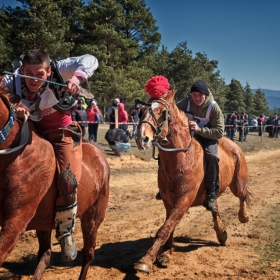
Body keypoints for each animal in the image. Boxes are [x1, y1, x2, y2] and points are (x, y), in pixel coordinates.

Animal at [0, 80, 110, 278]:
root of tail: (98, 153)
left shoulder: (15, 222)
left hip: (93, 217)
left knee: (88, 254)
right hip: (44, 222)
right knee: (45, 254)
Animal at [135, 90, 250, 274]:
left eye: (162, 112)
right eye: (141, 112)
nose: (142, 138)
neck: (182, 158)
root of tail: (232, 144)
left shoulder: (184, 199)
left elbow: (164, 229)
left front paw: (146, 260)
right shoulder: (169, 200)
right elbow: (170, 227)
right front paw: (167, 254)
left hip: (237, 184)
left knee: (243, 195)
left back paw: (243, 216)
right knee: (215, 207)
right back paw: (221, 233)